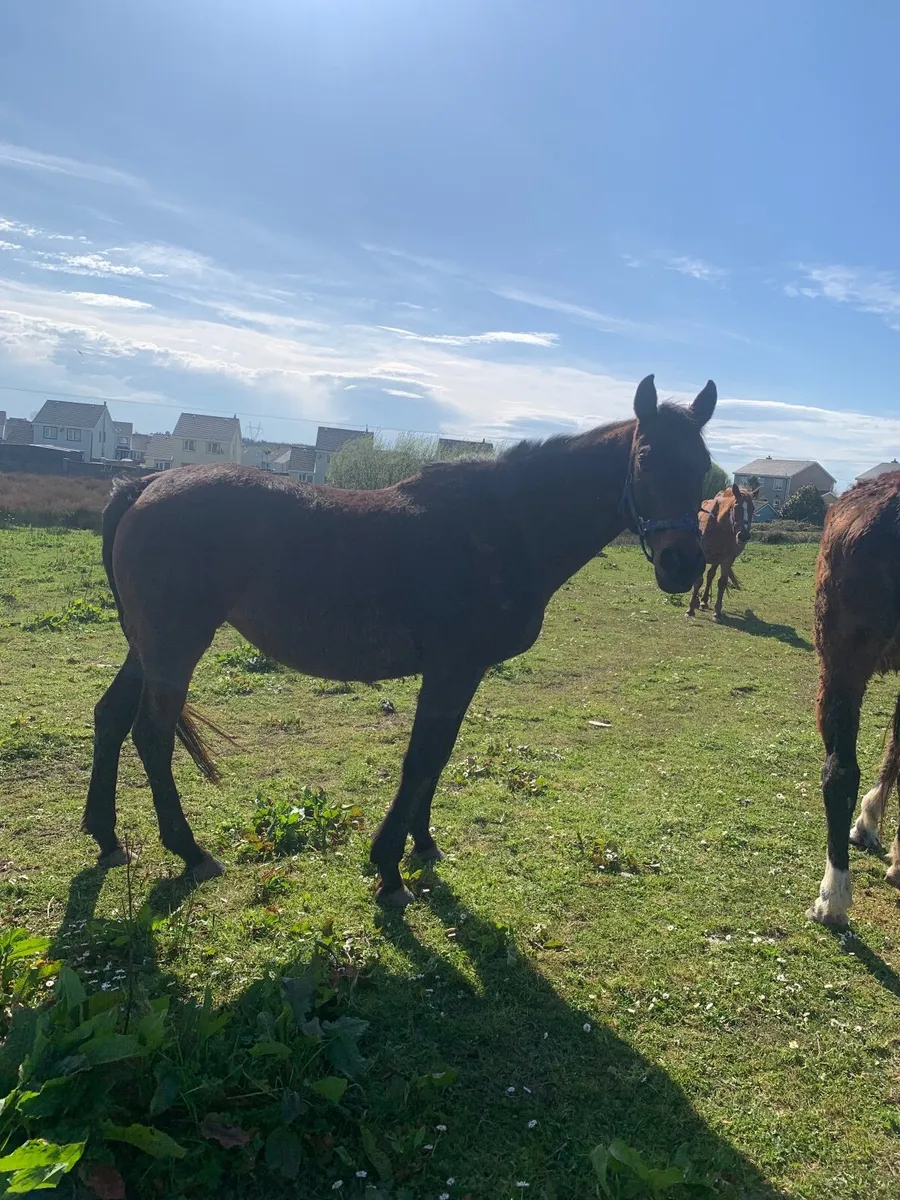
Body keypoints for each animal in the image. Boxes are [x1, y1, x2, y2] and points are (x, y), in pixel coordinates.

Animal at [83, 374, 717, 906]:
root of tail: (146, 484)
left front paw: (423, 843)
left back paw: (107, 839)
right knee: (151, 736)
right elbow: (422, 758)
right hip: (175, 645)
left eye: (705, 463)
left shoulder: (462, 674)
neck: (505, 526)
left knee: (111, 717)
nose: (683, 564)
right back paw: (191, 852)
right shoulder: (452, 669)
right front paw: (389, 869)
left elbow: (438, 757)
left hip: (145, 646)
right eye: (646, 457)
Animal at [686, 484, 755, 620]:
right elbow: (698, 581)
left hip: (716, 560)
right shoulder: (701, 555)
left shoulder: (727, 559)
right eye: (736, 507)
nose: (744, 536)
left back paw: (704, 601)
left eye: (753, 509)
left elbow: (722, 583)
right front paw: (691, 608)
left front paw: (717, 612)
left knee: (710, 575)